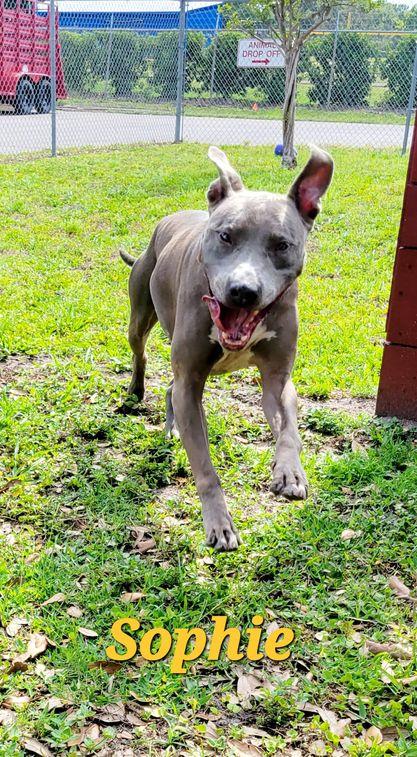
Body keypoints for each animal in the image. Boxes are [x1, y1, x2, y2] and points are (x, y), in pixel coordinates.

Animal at [120, 146, 333, 551]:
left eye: (282, 245)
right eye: (225, 236)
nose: (243, 291)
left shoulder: (277, 380)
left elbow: (290, 429)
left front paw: (290, 473)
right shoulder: (191, 380)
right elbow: (205, 467)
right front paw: (218, 523)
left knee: (170, 388)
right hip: (140, 316)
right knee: (141, 353)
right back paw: (137, 391)